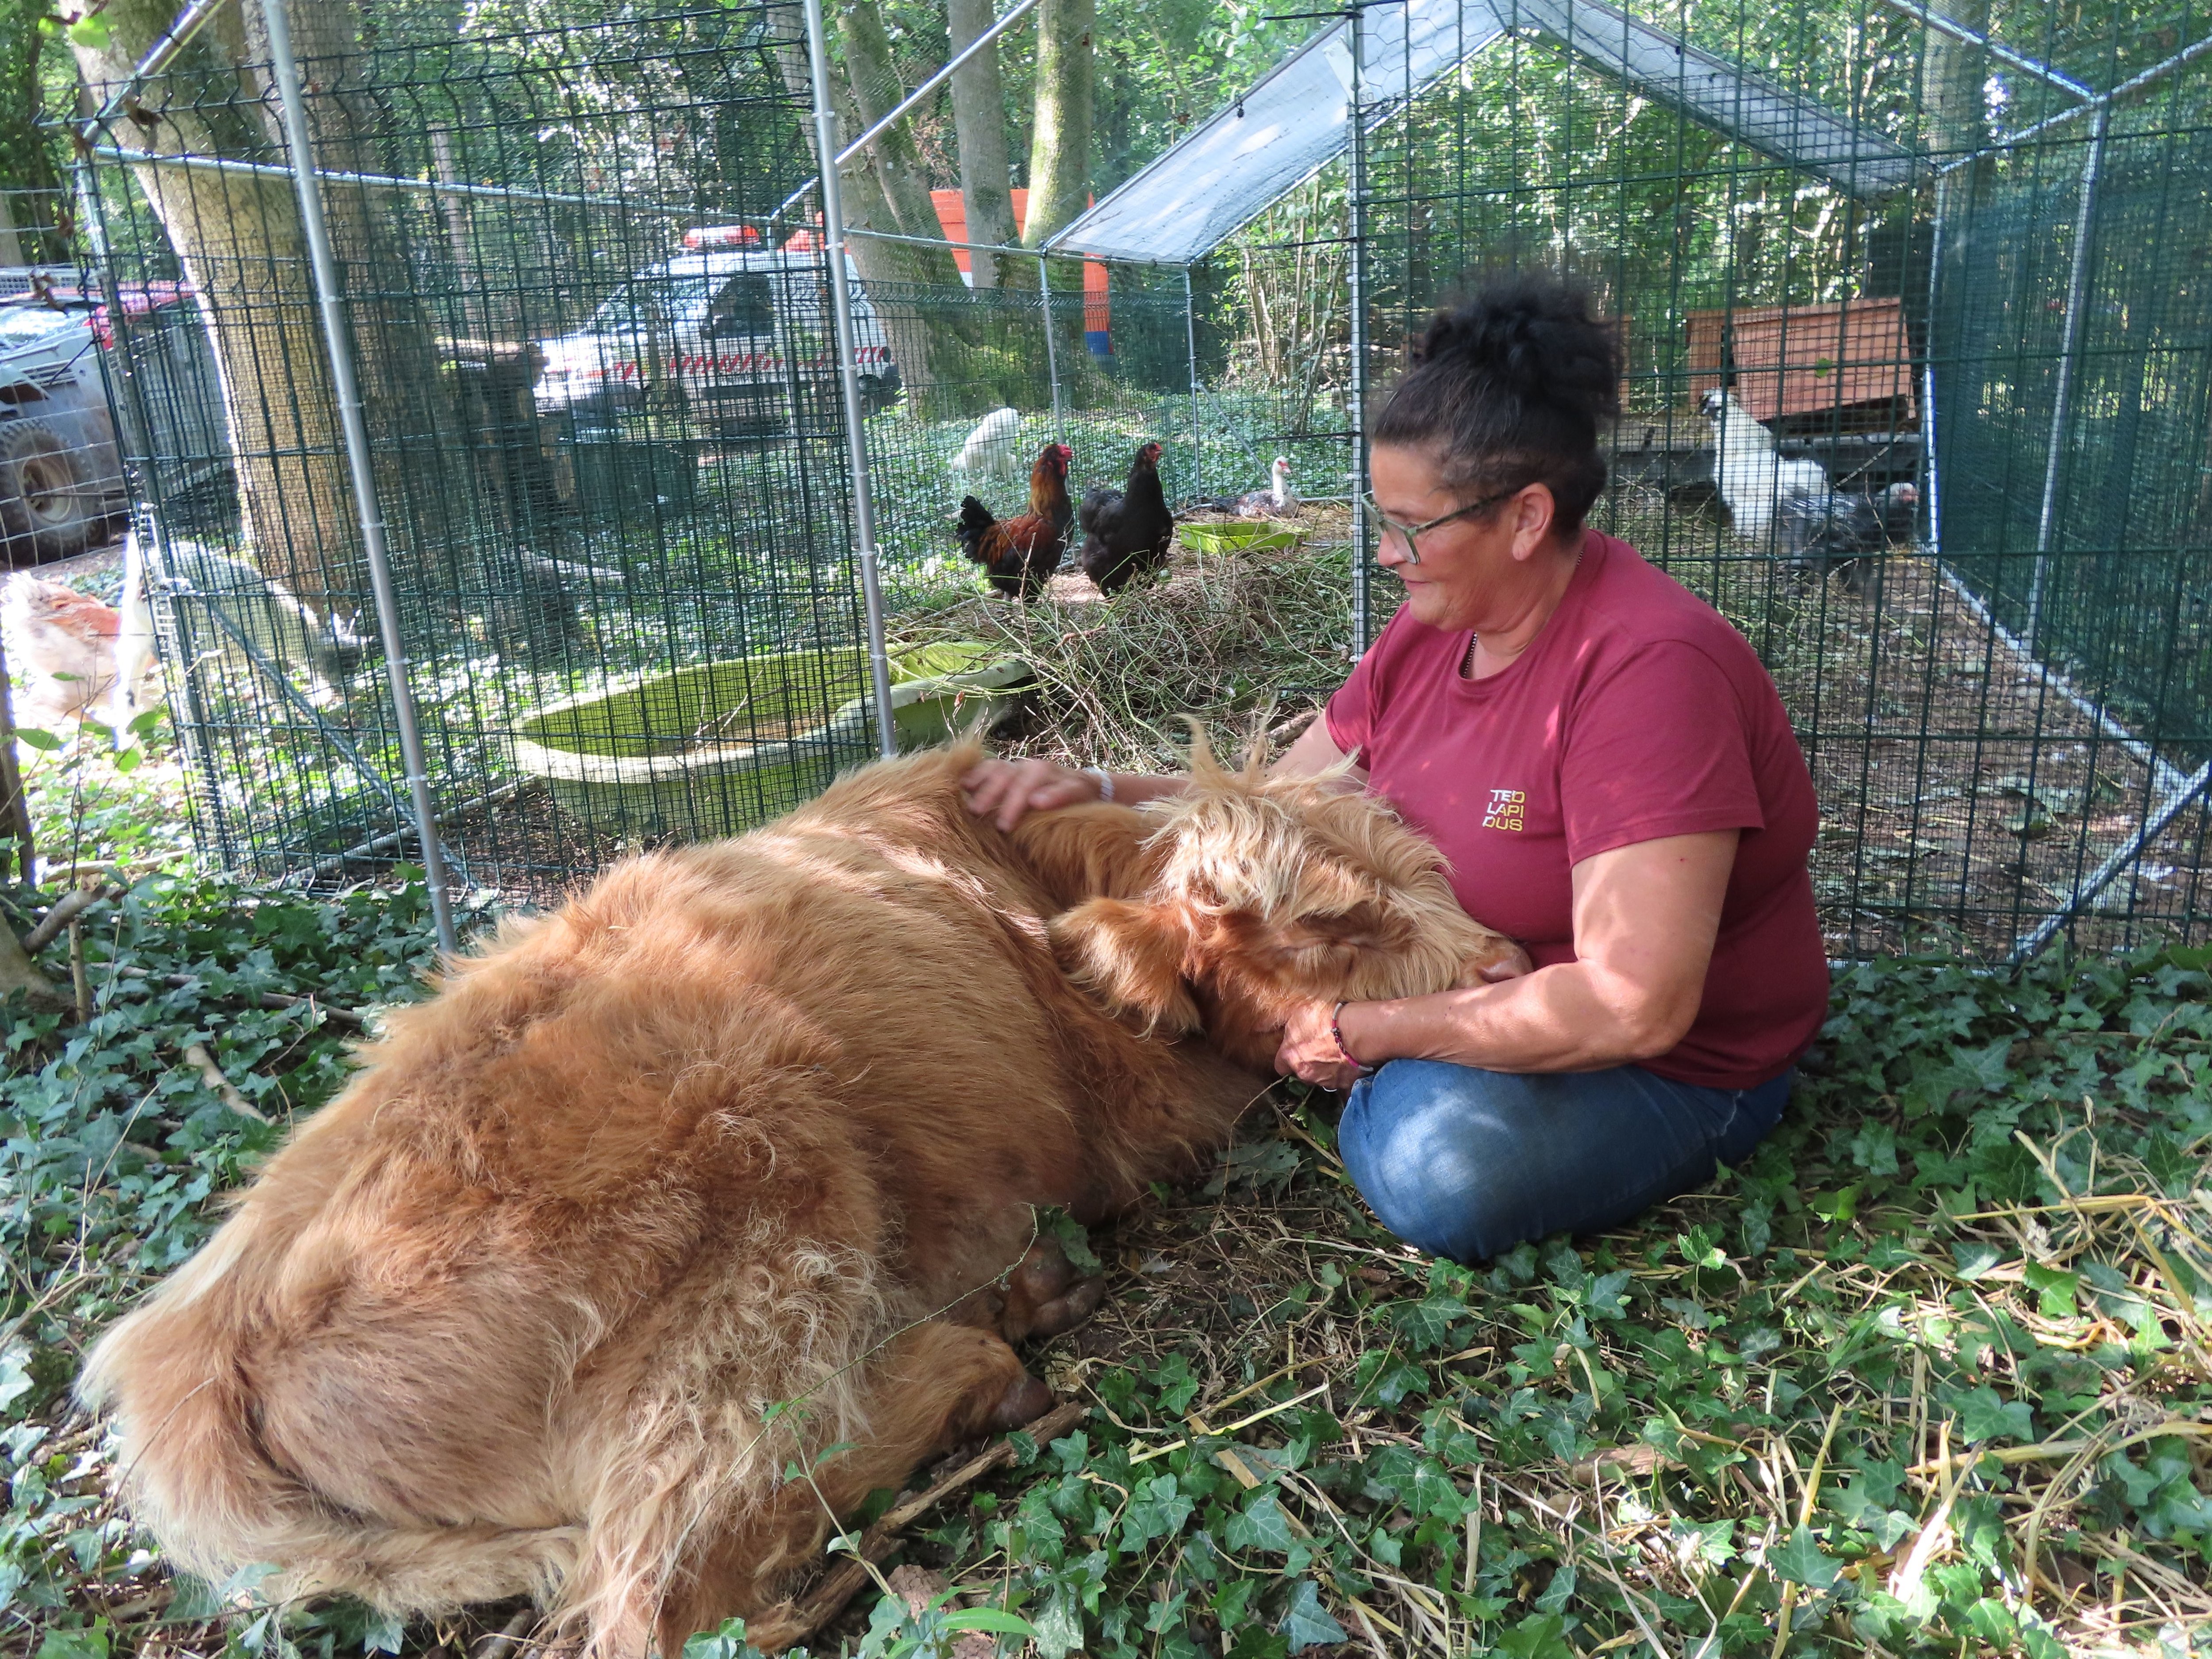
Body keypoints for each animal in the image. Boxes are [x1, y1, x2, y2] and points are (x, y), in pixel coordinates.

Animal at [78, 743, 1513, 1659]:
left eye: (1417, 870)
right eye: (1329, 926)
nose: (1505, 963)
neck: (1039, 881)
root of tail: (195, 1354)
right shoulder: (1153, 1119)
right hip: (765, 1199)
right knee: (668, 1589)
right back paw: (985, 1349)